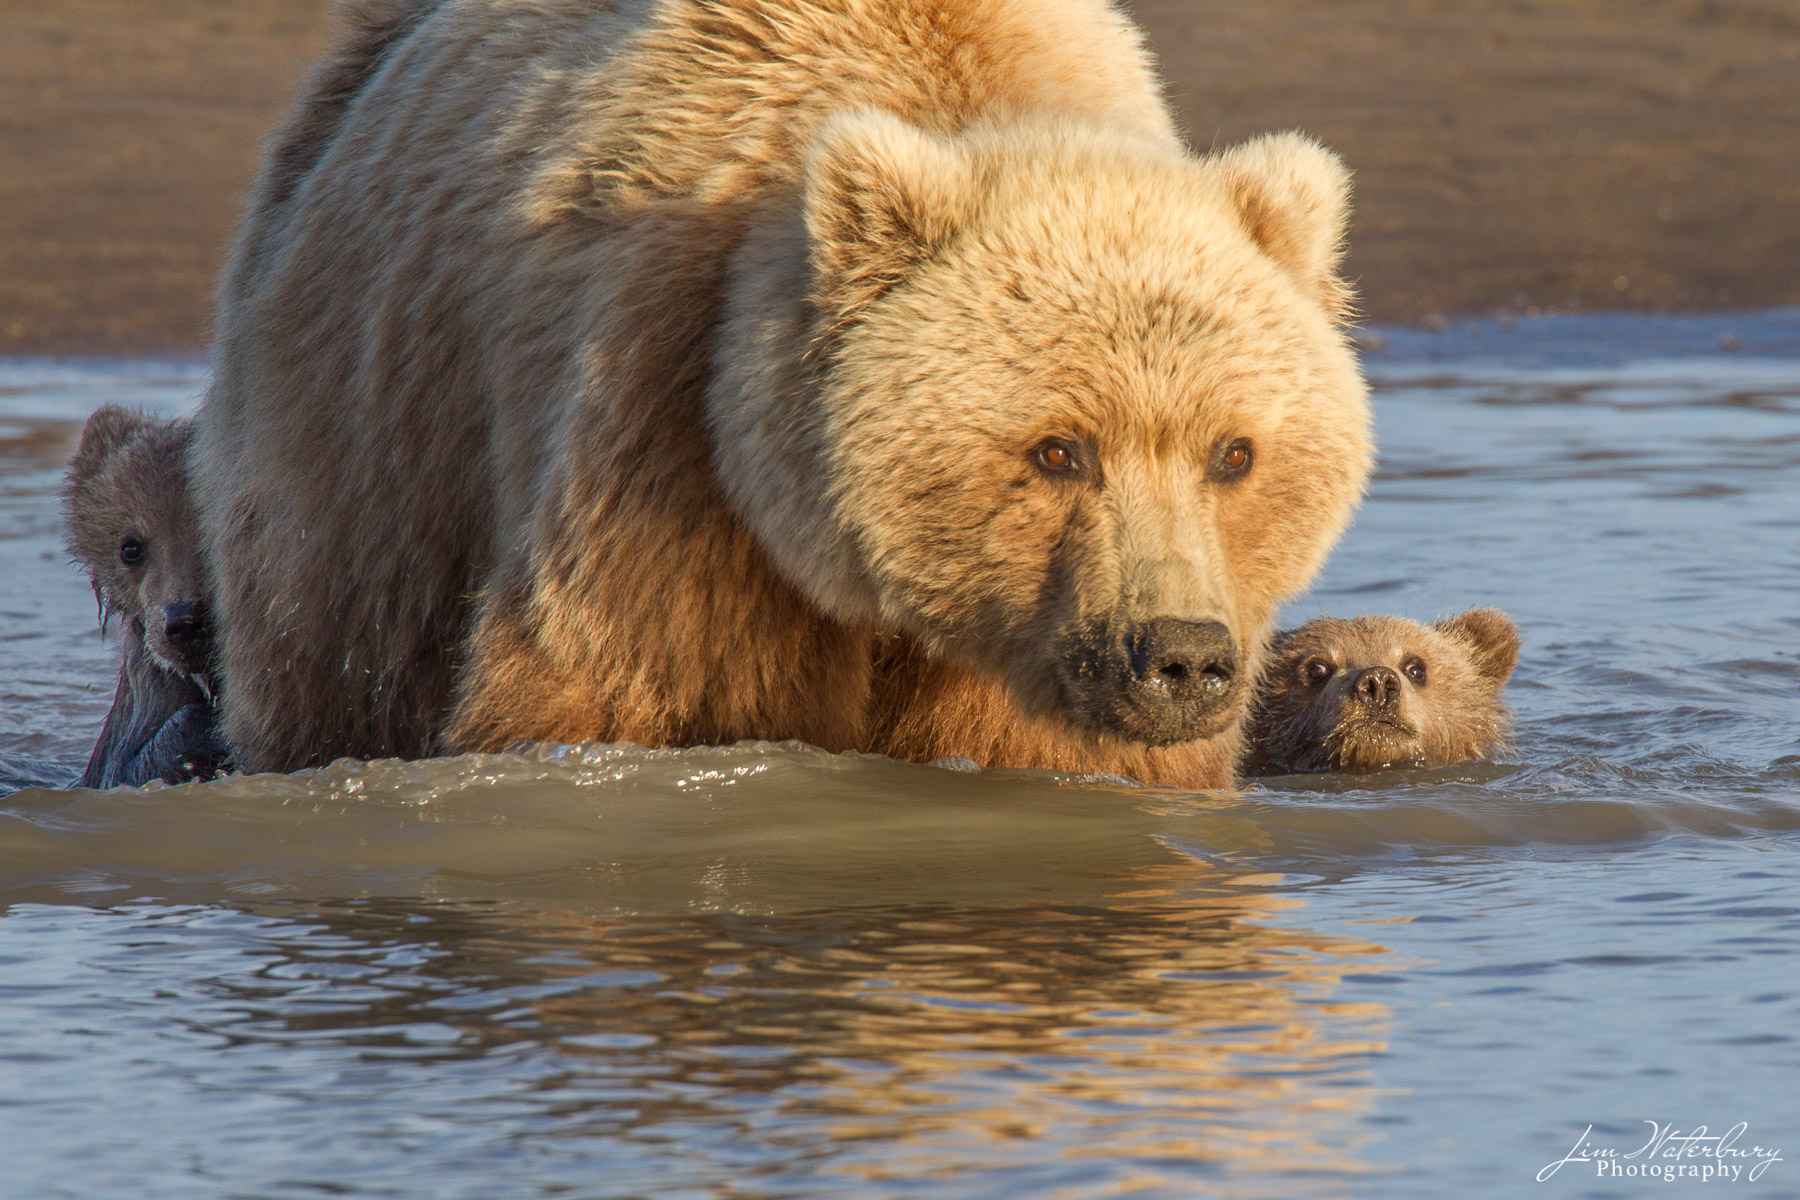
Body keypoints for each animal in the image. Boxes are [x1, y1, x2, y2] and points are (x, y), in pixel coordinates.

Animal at [193, 0, 1360, 784]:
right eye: (1059, 448)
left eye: (1234, 452)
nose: (1181, 656)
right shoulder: (670, 434)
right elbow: (629, 693)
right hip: (372, 402)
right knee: (336, 633)